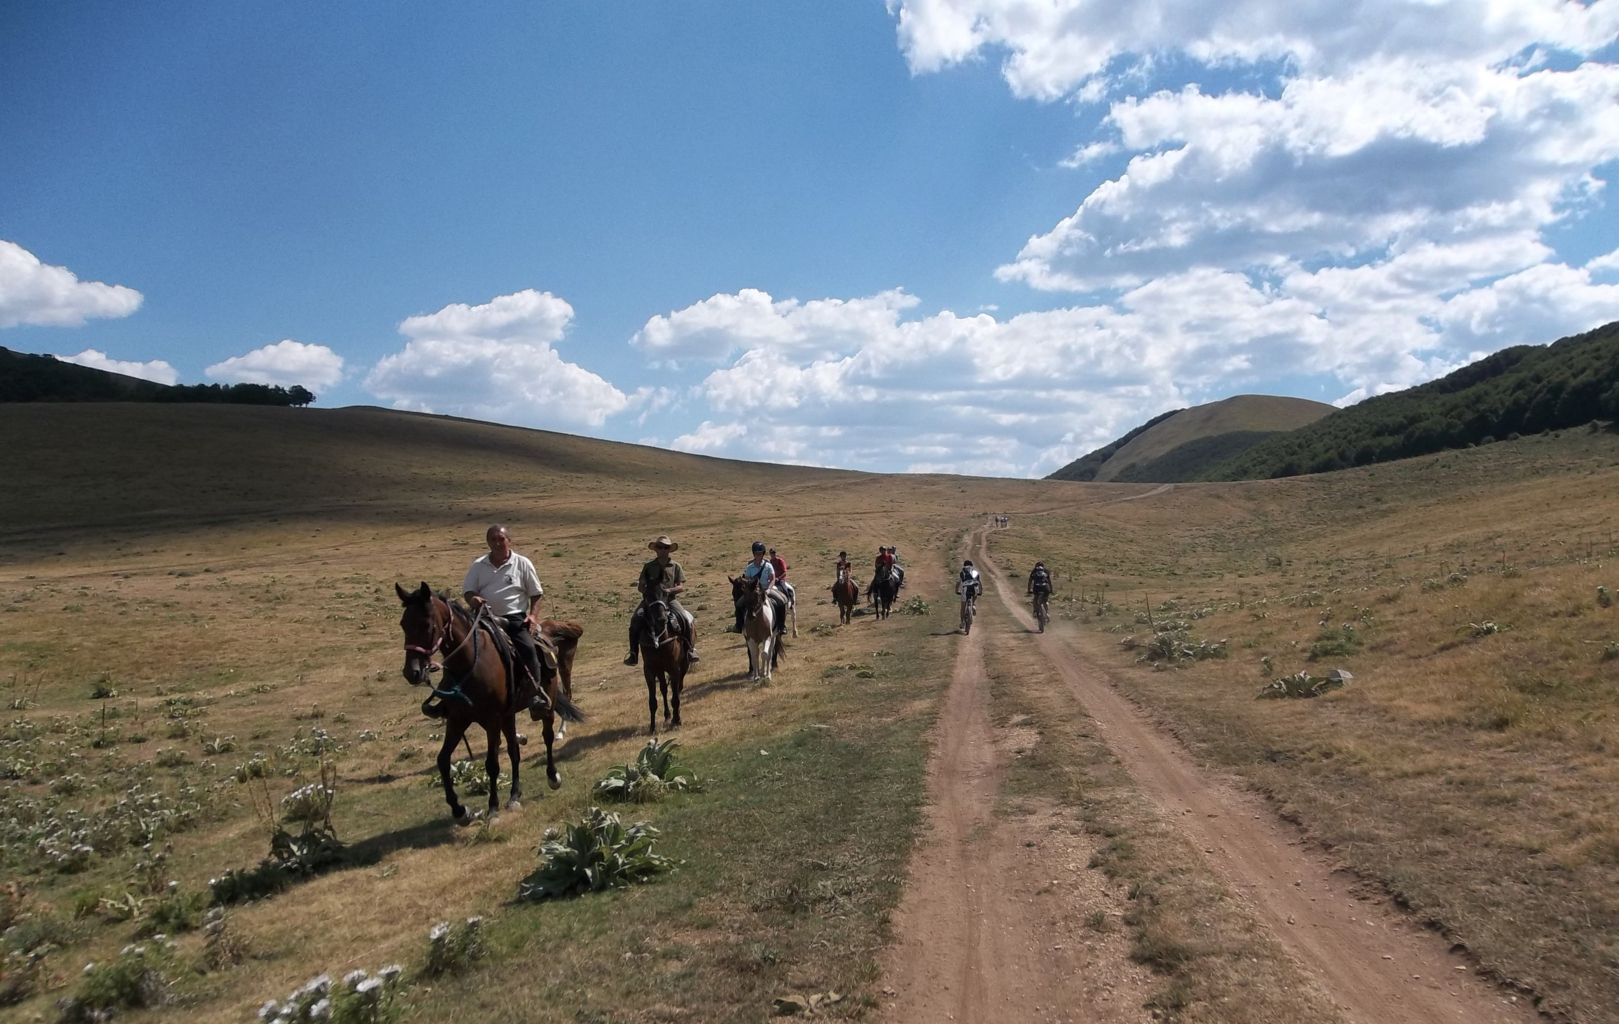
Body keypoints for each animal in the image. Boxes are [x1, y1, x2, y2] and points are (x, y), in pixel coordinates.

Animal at [395, 583, 586, 823]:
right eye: (403, 624)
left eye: (426, 624)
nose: (412, 672)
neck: (470, 663)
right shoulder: (458, 719)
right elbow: (443, 760)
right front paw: (460, 810)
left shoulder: (492, 720)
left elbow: (492, 763)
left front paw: (493, 808)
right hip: (509, 715)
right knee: (514, 751)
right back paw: (514, 796)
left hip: (546, 704)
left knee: (547, 736)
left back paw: (552, 776)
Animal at [634, 580, 686, 732]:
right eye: (648, 595)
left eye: (665, 593)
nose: (661, 619)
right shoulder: (650, 670)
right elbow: (653, 700)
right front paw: (652, 727)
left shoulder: (674, 669)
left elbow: (675, 696)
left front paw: (677, 720)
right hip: (660, 670)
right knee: (663, 688)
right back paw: (667, 716)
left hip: (684, 666)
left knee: (679, 688)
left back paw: (675, 716)